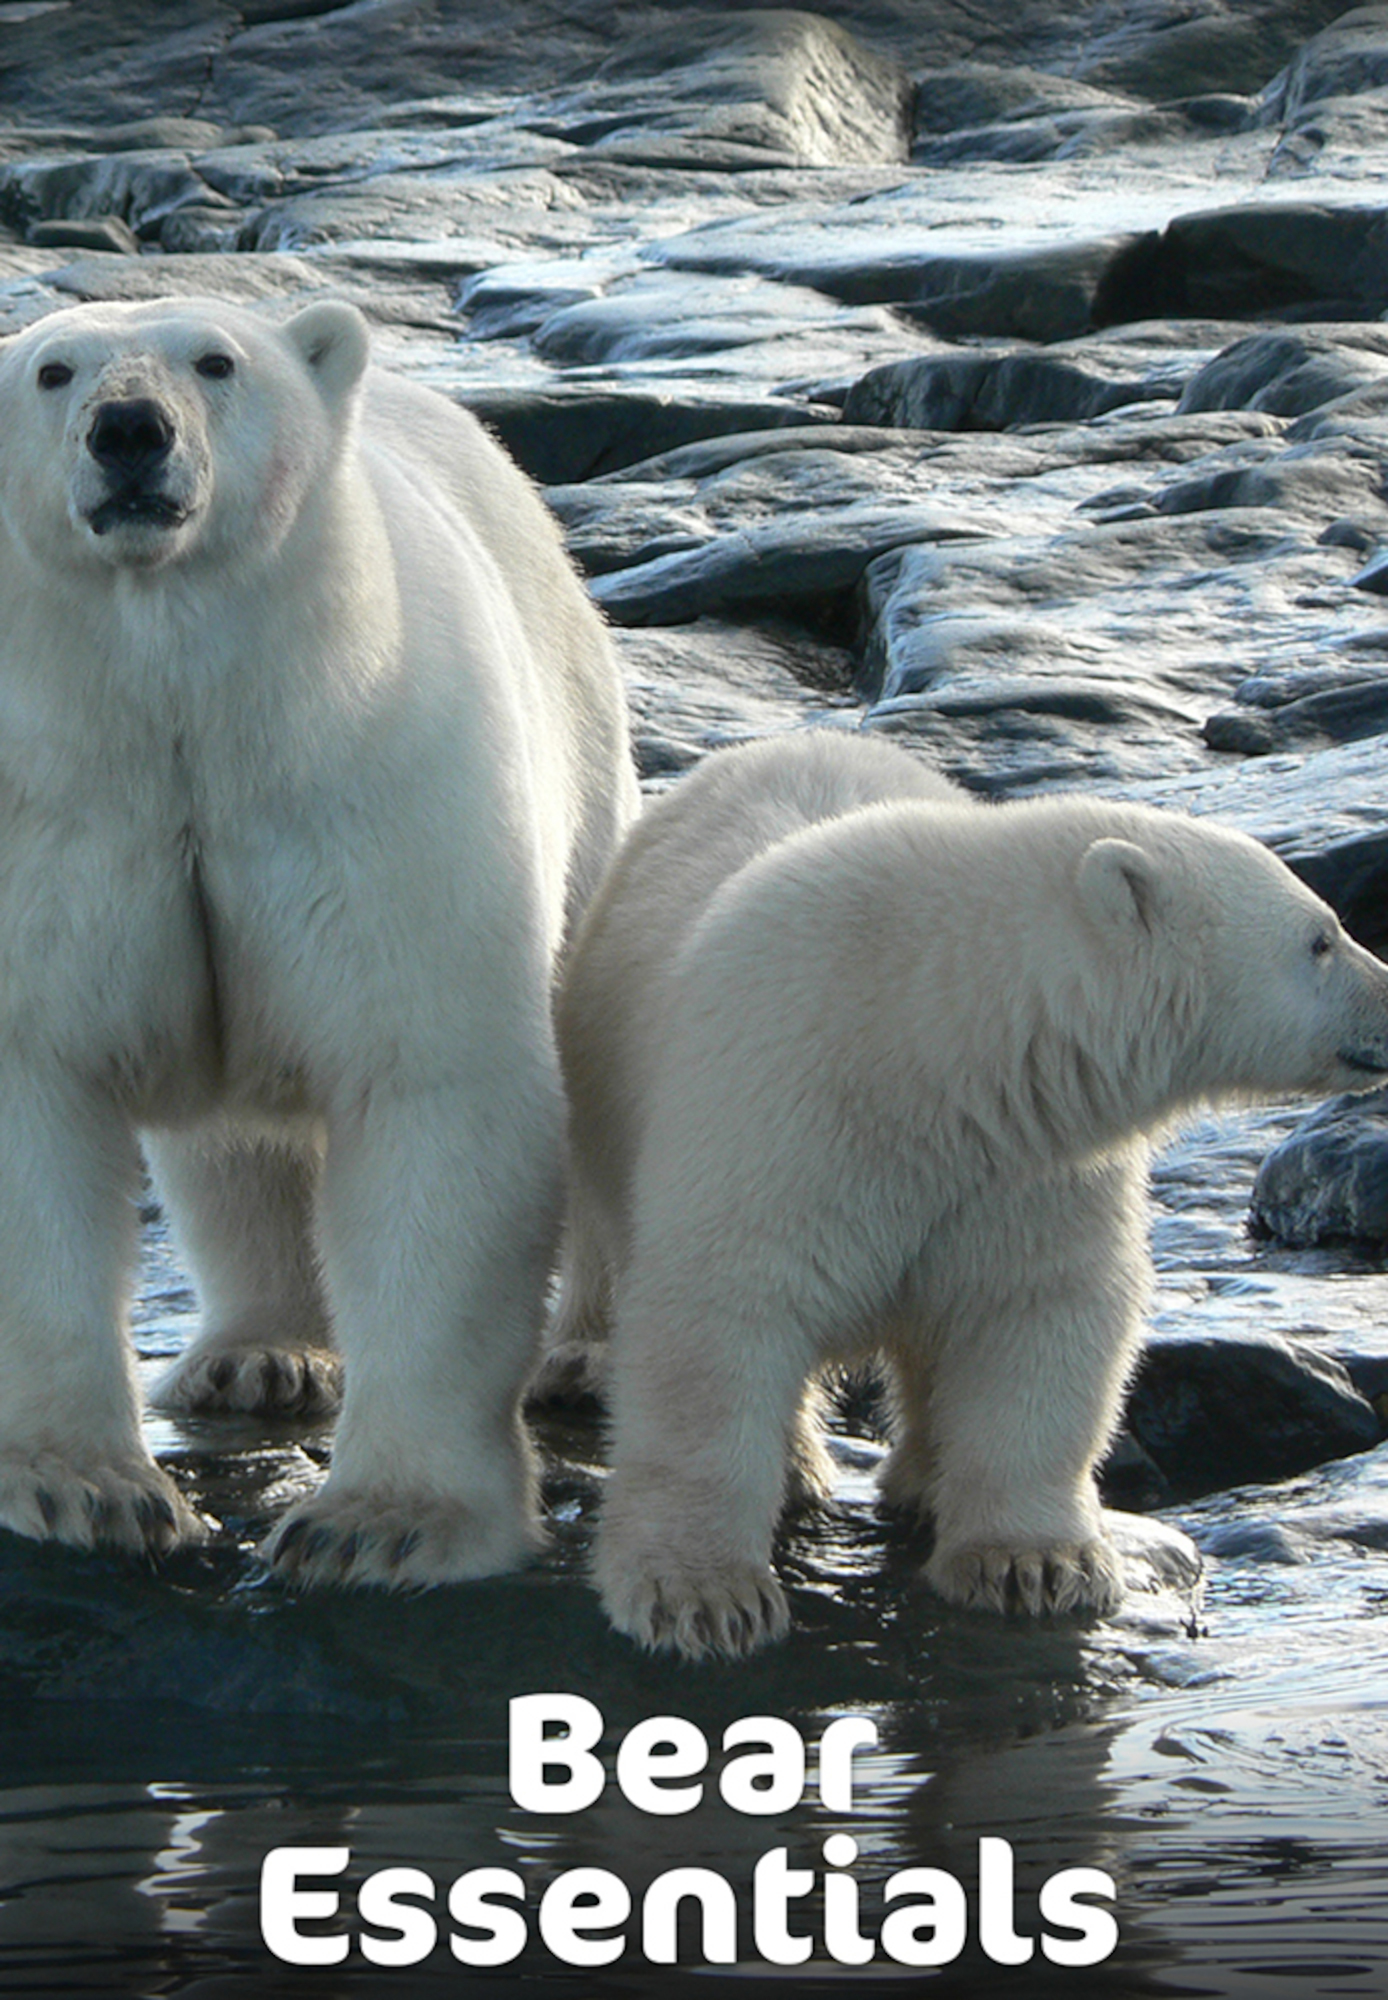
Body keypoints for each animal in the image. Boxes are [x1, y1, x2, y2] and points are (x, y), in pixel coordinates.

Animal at [0, 293, 637, 1584]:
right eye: (51, 370)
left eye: (215, 361)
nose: (130, 430)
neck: (189, 701)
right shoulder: (56, 810)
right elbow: (36, 1085)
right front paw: (82, 1489)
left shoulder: (374, 774)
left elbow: (429, 1086)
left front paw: (382, 1524)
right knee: (233, 1145)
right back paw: (258, 1352)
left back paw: (588, 1353)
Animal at [551, 731, 1388, 1658]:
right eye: (1321, 938)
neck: (928, 1034)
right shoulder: (784, 1109)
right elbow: (719, 1318)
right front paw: (702, 1596)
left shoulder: (1023, 1158)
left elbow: (1035, 1313)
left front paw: (1034, 1564)